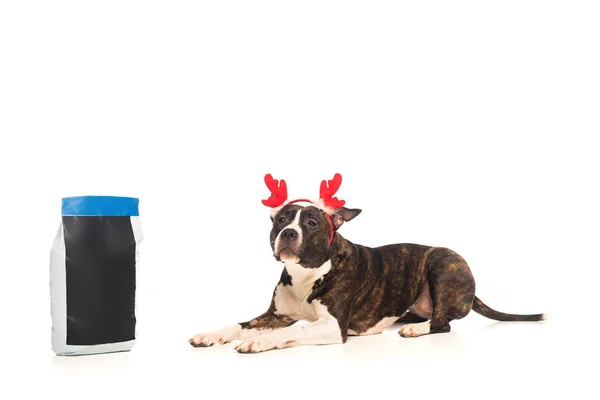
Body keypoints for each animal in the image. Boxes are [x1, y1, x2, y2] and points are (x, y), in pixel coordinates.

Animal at [190, 175, 548, 354]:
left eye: (311, 223)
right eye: (280, 219)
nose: (288, 233)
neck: (306, 274)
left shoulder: (332, 326)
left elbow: (296, 329)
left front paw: (259, 341)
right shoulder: (274, 316)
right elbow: (237, 324)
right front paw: (211, 335)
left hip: (442, 261)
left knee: (442, 322)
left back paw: (415, 328)